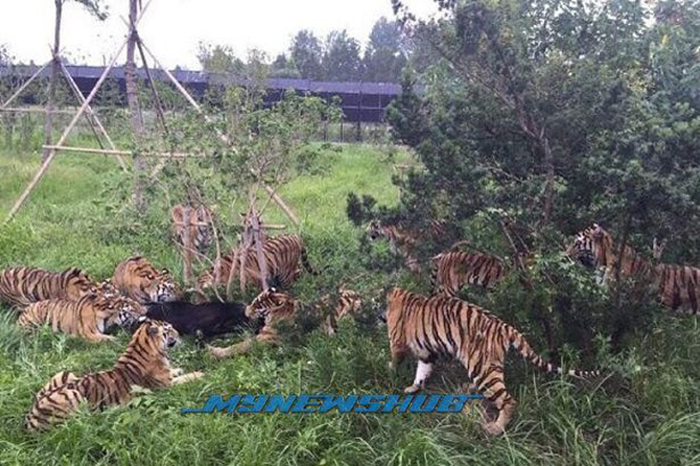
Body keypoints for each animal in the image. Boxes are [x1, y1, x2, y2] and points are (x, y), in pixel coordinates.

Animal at [24, 319, 204, 432]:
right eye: (169, 329)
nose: (179, 333)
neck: (141, 343)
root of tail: (29, 416)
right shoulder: (165, 387)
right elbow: (185, 378)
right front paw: (199, 374)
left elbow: (175, 371)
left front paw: (178, 369)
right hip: (73, 394)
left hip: (65, 373)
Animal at [385, 288, 599, 436]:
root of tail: (505, 326)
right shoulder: (426, 352)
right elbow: (422, 369)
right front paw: (414, 387)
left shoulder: (397, 341)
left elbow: (397, 360)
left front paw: (390, 372)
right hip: (485, 366)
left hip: (482, 368)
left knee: (508, 400)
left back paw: (495, 429)